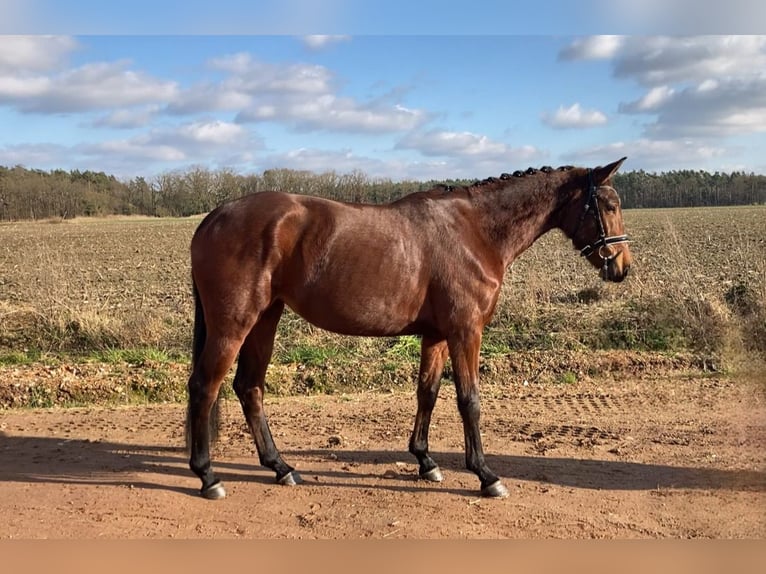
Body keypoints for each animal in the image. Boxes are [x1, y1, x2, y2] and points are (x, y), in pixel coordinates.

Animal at [186, 156, 632, 500]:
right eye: (608, 204)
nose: (622, 267)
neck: (475, 231)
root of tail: (214, 216)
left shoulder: (436, 335)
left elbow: (427, 393)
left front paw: (426, 461)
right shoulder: (465, 331)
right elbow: (469, 400)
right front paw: (486, 475)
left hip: (266, 318)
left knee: (249, 387)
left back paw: (280, 467)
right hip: (234, 323)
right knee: (206, 387)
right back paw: (208, 476)